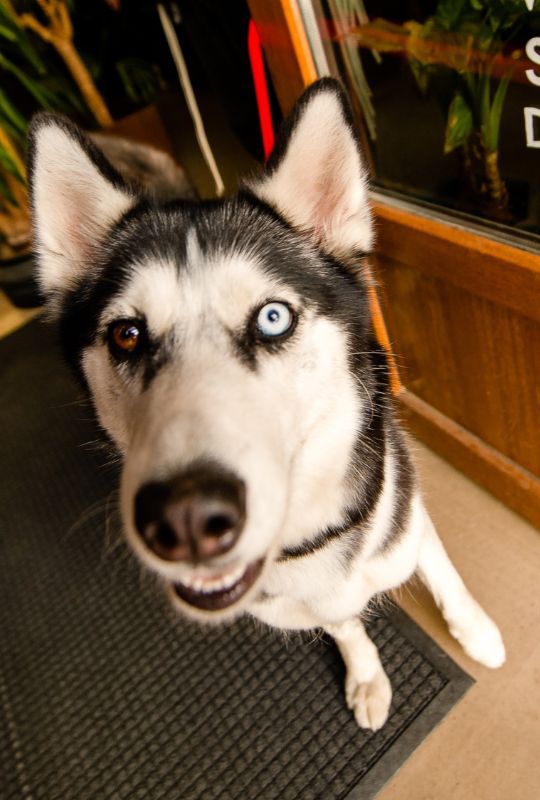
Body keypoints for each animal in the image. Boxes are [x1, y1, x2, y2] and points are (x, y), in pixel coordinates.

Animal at [28, 78, 505, 731]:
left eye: (273, 318)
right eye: (127, 335)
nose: (187, 519)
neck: (308, 542)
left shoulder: (408, 522)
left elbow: (445, 577)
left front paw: (477, 633)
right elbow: (343, 625)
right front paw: (365, 674)